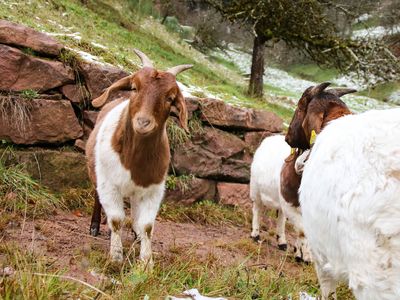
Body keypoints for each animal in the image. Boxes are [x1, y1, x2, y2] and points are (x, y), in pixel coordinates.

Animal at [85, 49, 191, 268]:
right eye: (134, 87)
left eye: (170, 98)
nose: (143, 122)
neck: (133, 161)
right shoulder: (109, 184)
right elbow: (116, 220)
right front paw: (116, 257)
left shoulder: (152, 189)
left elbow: (147, 226)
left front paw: (146, 261)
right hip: (98, 176)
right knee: (98, 199)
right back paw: (95, 226)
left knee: (135, 214)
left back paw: (135, 235)